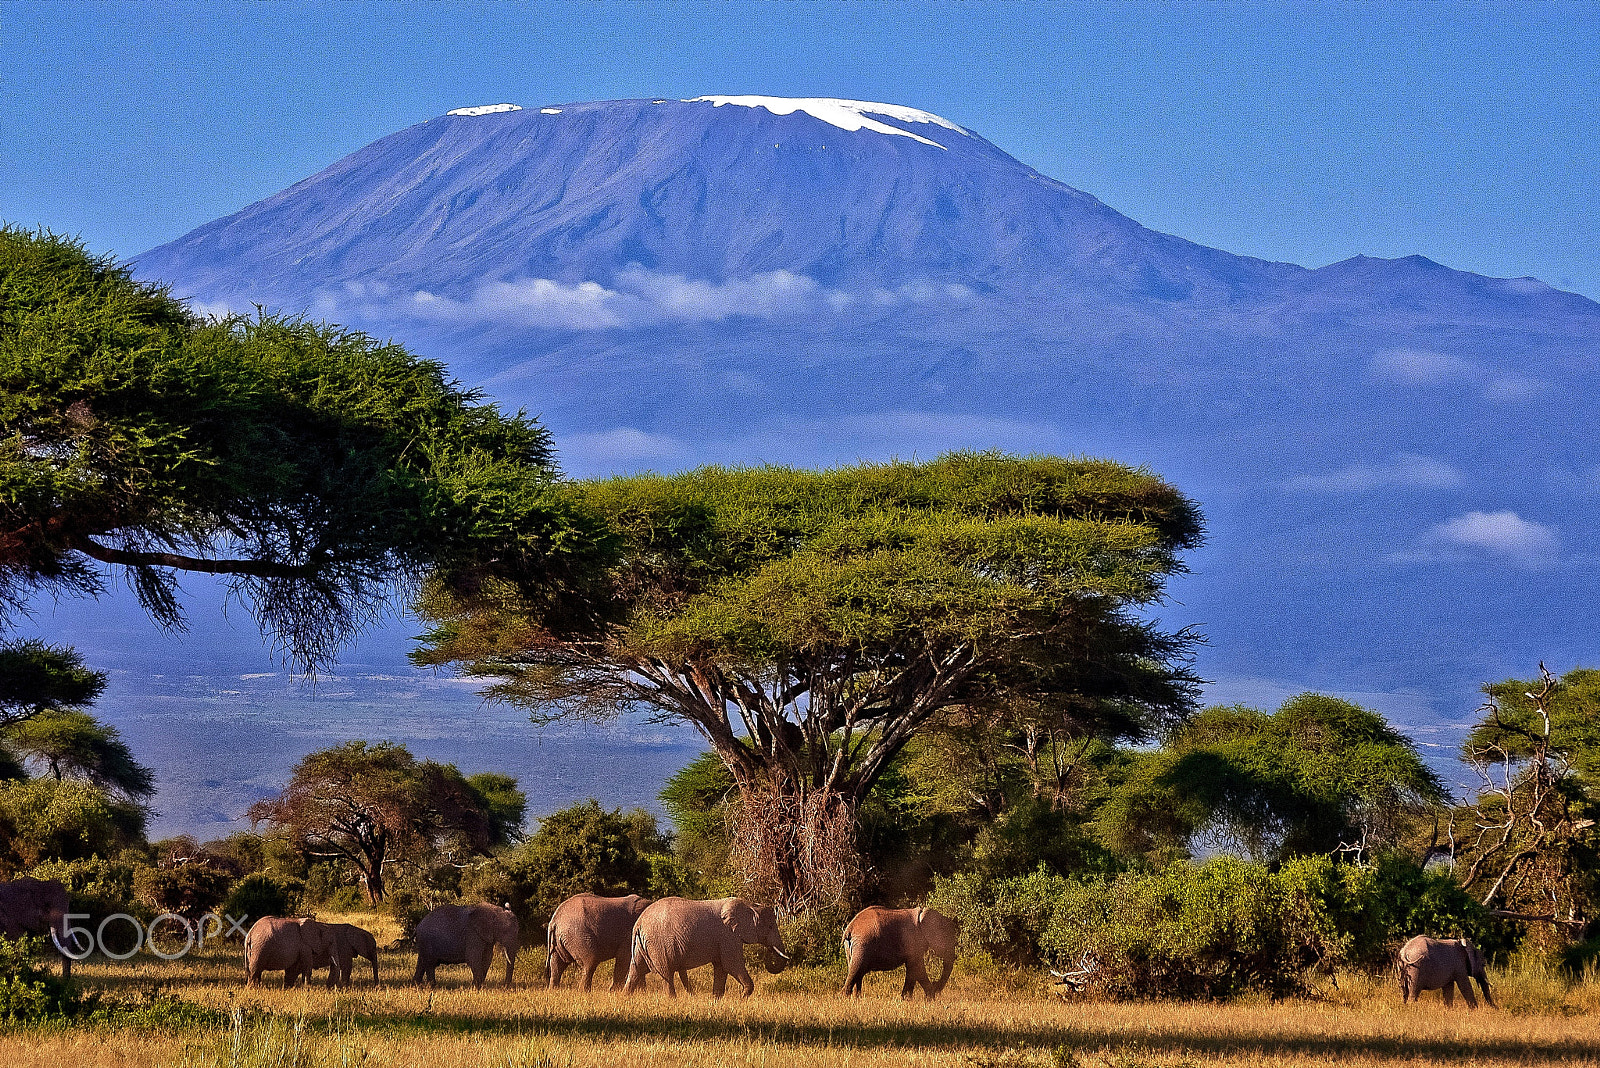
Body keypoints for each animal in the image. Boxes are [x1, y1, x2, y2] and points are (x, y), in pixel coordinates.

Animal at [624, 895, 787, 997]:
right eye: (771, 926)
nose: (769, 952)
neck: (750, 905)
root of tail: (639, 923)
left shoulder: (724, 939)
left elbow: (721, 968)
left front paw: (716, 999)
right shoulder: (728, 936)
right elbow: (731, 965)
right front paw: (743, 996)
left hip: (642, 944)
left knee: (635, 970)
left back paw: (626, 996)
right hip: (659, 944)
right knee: (666, 973)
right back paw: (672, 1000)